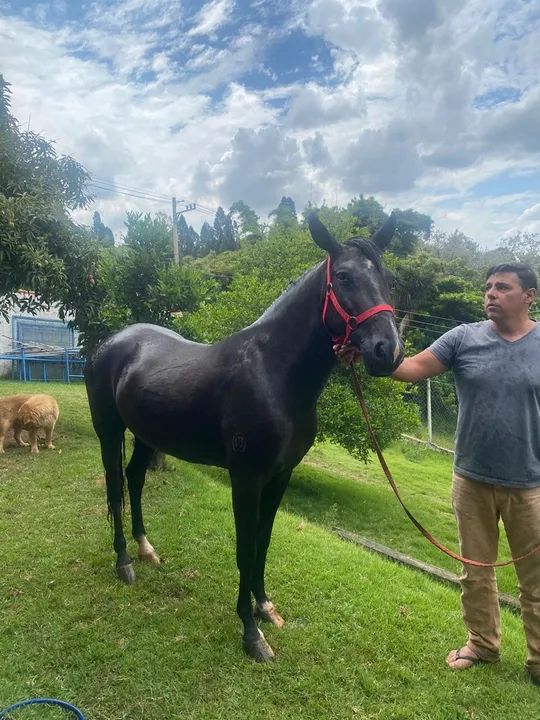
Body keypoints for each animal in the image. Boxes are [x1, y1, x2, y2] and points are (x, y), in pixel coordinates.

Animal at [85, 212, 403, 662]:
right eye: (343, 276)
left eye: (387, 278)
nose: (387, 351)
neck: (273, 374)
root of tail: (111, 342)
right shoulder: (247, 478)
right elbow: (244, 546)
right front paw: (251, 634)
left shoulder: (280, 476)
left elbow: (263, 543)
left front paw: (264, 607)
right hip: (109, 431)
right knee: (115, 486)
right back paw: (124, 562)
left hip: (148, 436)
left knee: (135, 479)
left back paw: (146, 549)